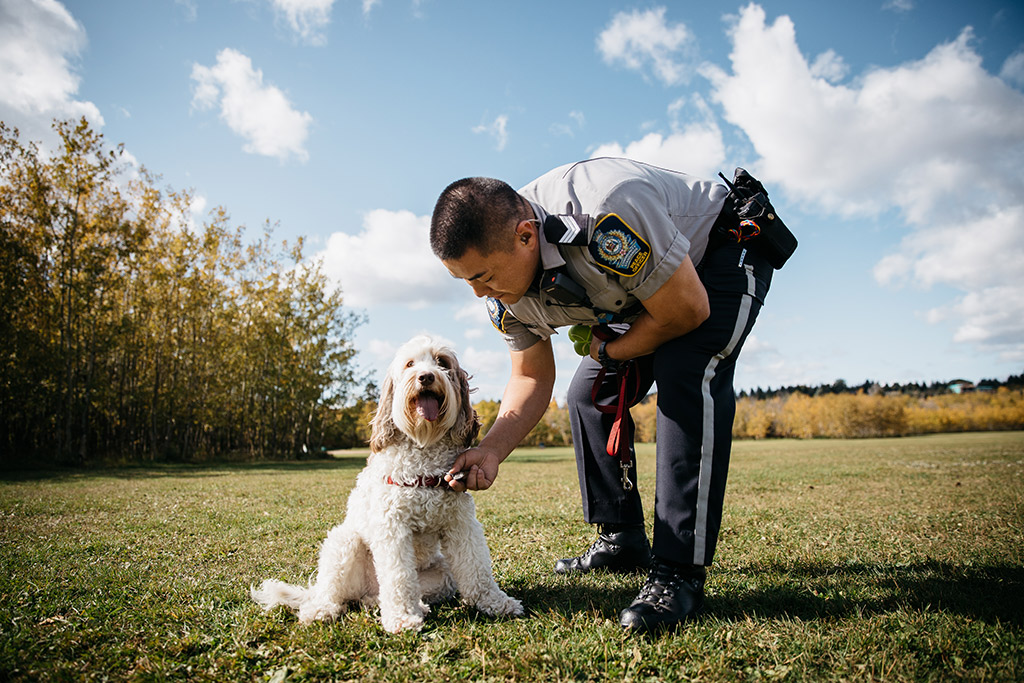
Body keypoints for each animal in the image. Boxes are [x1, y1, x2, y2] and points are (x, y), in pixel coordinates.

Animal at [247, 335, 520, 634]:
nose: (426, 376)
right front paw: (402, 617)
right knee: (335, 593)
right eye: (410, 364)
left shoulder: (460, 523)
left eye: (442, 362)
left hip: (442, 573)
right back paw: (321, 609)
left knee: (387, 594)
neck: (424, 451)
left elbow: (477, 567)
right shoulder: (393, 527)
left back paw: (404, 605)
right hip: (344, 542)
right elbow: (398, 576)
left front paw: (495, 602)